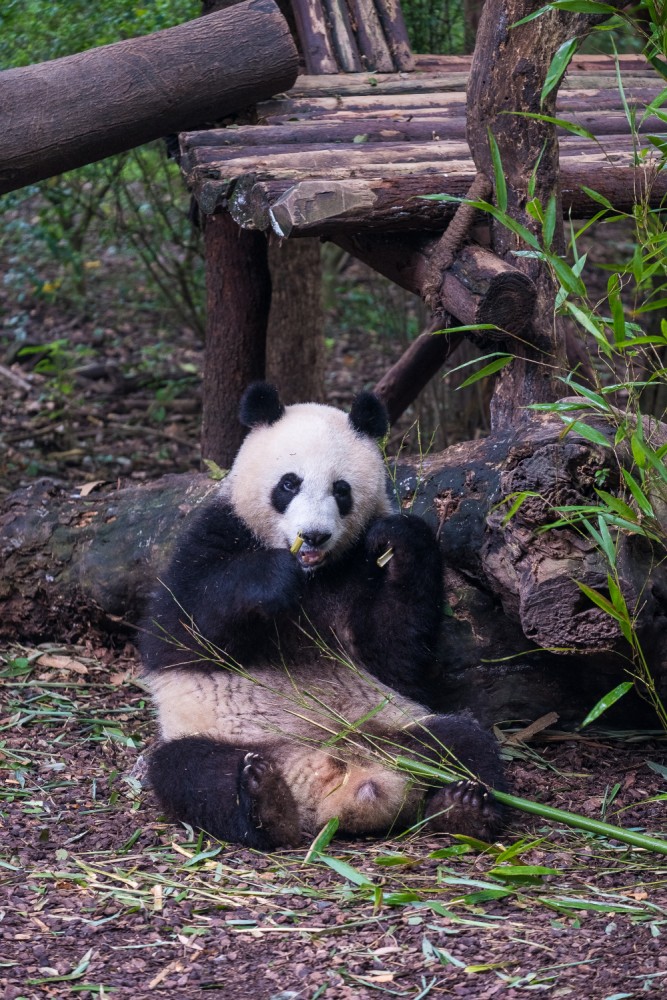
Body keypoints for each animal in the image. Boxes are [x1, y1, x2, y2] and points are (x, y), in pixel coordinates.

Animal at [142, 378, 506, 848]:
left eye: (341, 489)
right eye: (289, 484)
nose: (313, 536)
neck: (315, 574)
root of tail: (341, 786)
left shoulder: (358, 568)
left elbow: (396, 655)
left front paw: (401, 539)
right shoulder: (211, 536)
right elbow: (182, 631)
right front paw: (273, 579)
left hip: (398, 729)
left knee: (465, 743)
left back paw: (463, 807)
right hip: (218, 736)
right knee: (189, 772)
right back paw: (266, 802)